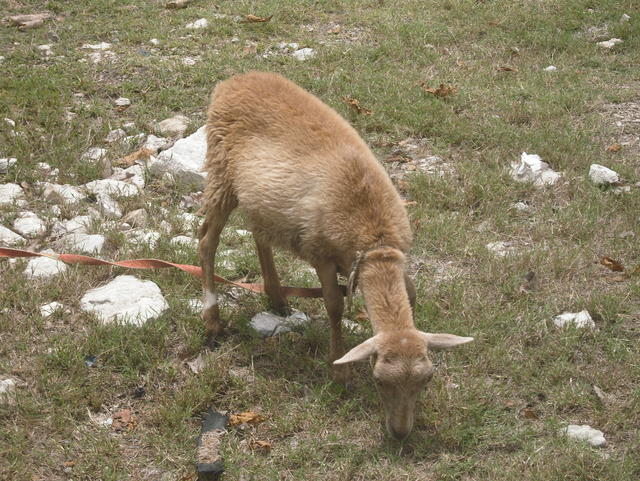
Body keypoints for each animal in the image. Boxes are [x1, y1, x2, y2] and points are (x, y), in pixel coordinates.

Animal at [198, 71, 472, 438]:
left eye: (425, 380)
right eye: (379, 381)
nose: (401, 434)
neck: (376, 244)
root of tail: (235, 79)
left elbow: (411, 296)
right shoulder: (322, 254)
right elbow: (334, 306)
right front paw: (338, 370)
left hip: (260, 197)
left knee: (259, 236)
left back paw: (276, 296)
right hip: (220, 170)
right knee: (206, 242)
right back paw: (213, 321)